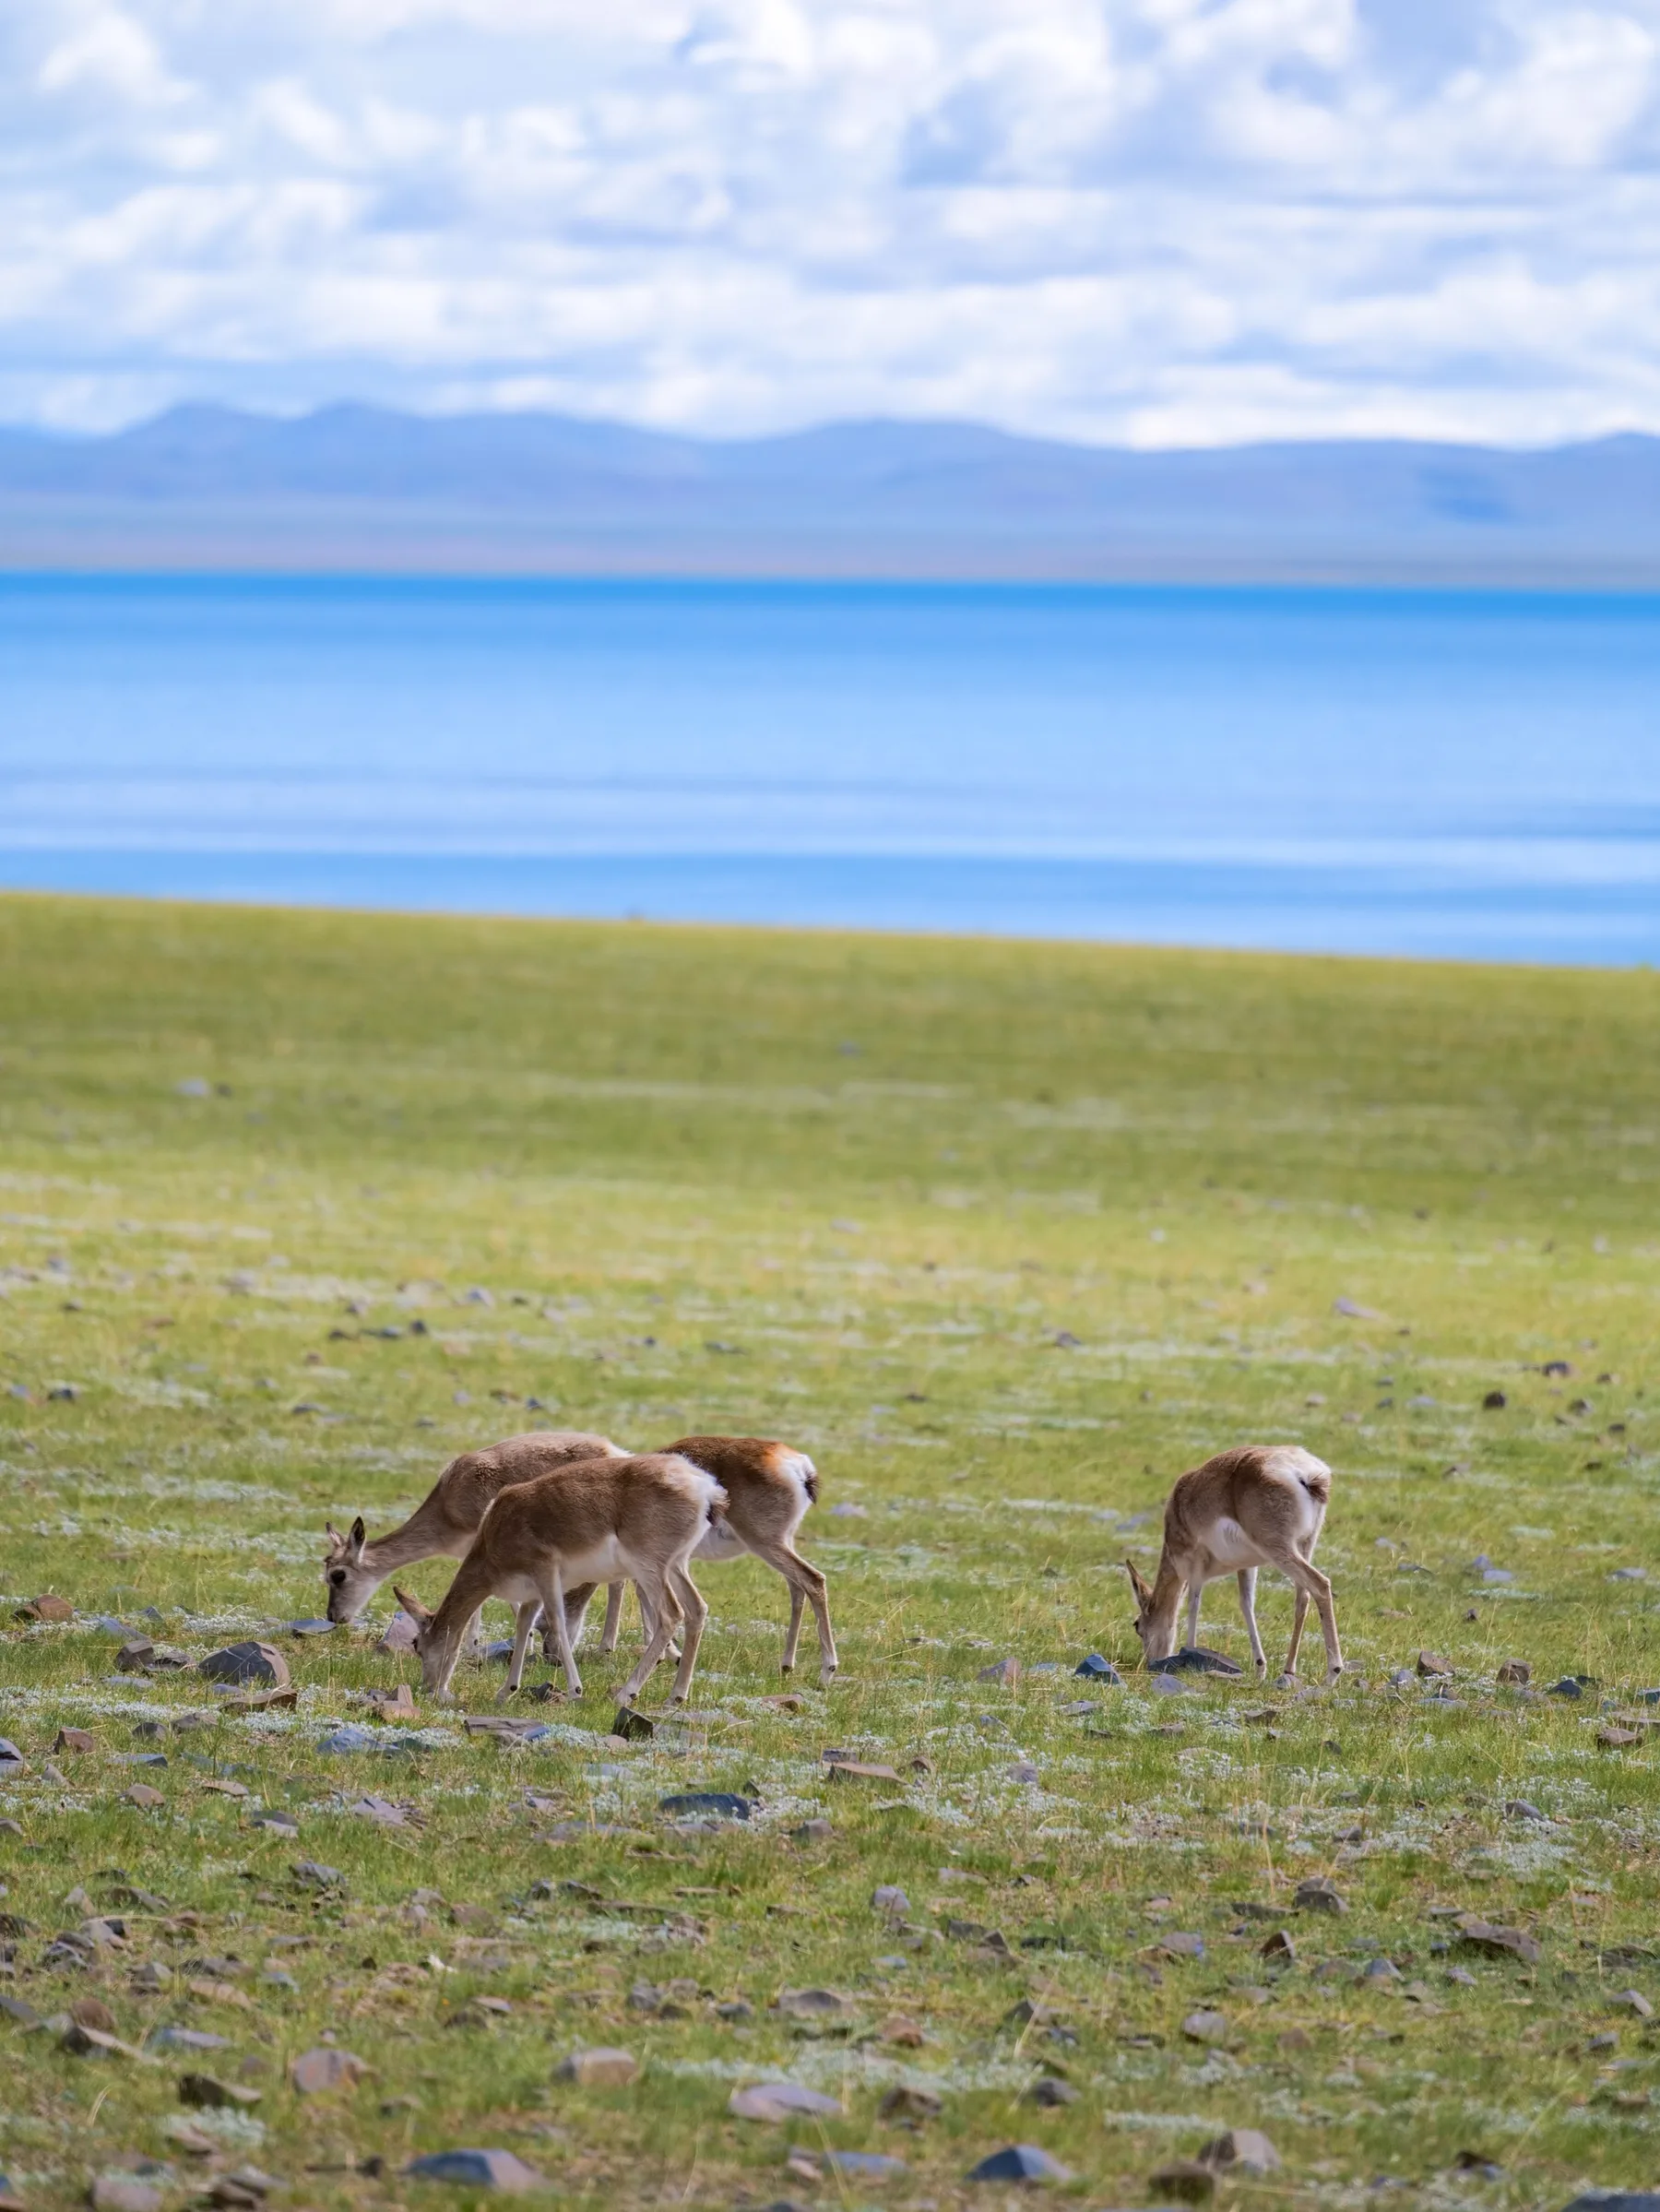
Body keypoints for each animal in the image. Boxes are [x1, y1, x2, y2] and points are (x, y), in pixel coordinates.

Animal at [322, 1429, 628, 1647]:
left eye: (338, 1575)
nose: (333, 1616)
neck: (448, 1505)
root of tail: (616, 1453)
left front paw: (477, 1647)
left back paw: (606, 1648)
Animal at [393, 1451, 725, 1707]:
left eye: (417, 1645)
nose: (428, 1689)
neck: (496, 1530)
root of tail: (704, 1487)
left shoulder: (546, 1573)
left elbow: (557, 1622)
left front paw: (575, 1690)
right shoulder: (531, 1593)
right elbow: (524, 1625)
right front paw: (506, 1691)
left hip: (648, 1569)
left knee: (671, 1614)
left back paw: (625, 1694)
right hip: (676, 1566)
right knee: (697, 1609)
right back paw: (675, 1697)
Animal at [1125, 1445, 1342, 1683]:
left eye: (1137, 1626)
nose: (1149, 1664)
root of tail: (1306, 1472)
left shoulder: (1195, 1567)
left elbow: (1193, 1606)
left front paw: (1189, 1654)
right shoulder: (1246, 1566)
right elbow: (1246, 1605)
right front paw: (1260, 1668)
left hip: (1278, 1549)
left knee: (1320, 1584)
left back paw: (1333, 1673)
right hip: (1305, 1545)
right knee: (1302, 1598)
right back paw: (1288, 1670)